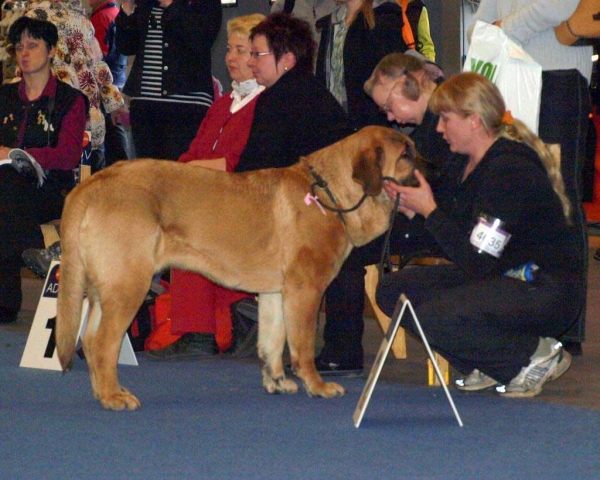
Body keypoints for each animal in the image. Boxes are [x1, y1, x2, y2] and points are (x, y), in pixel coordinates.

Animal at [55, 124, 422, 408]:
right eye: (406, 154)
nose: (431, 168)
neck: (329, 192)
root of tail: (92, 182)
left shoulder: (276, 293)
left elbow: (272, 342)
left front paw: (277, 382)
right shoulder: (305, 290)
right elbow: (301, 346)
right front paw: (317, 386)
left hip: (106, 289)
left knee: (90, 339)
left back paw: (104, 391)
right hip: (128, 285)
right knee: (104, 343)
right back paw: (113, 397)